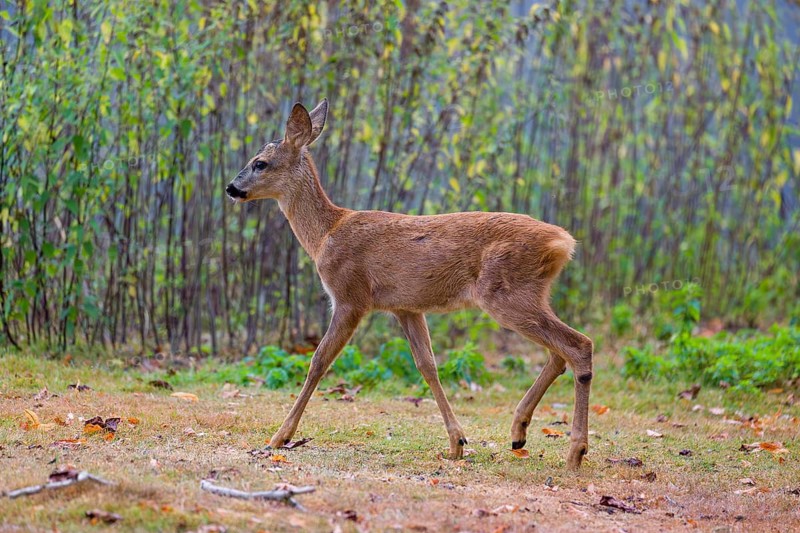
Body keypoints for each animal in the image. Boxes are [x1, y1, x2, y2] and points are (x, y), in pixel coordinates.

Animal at [226, 98, 594, 469]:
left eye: (260, 163)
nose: (231, 188)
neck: (325, 235)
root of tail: (563, 243)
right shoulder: (406, 307)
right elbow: (427, 366)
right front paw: (457, 442)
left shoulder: (350, 296)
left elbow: (318, 361)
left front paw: (279, 436)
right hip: (528, 294)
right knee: (558, 353)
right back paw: (519, 433)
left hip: (506, 293)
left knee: (578, 345)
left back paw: (575, 452)